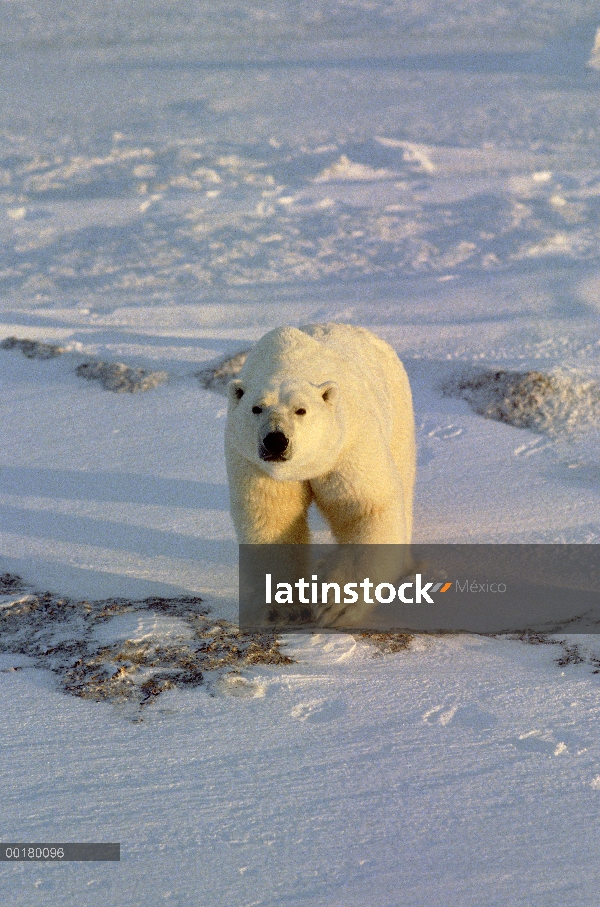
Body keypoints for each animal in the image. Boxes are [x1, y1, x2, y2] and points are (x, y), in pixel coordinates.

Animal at [225, 324, 418, 548]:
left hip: (398, 407)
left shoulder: (347, 447)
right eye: (256, 408)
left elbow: (367, 506)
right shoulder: (253, 464)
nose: (275, 441)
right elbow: (273, 519)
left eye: (300, 410)